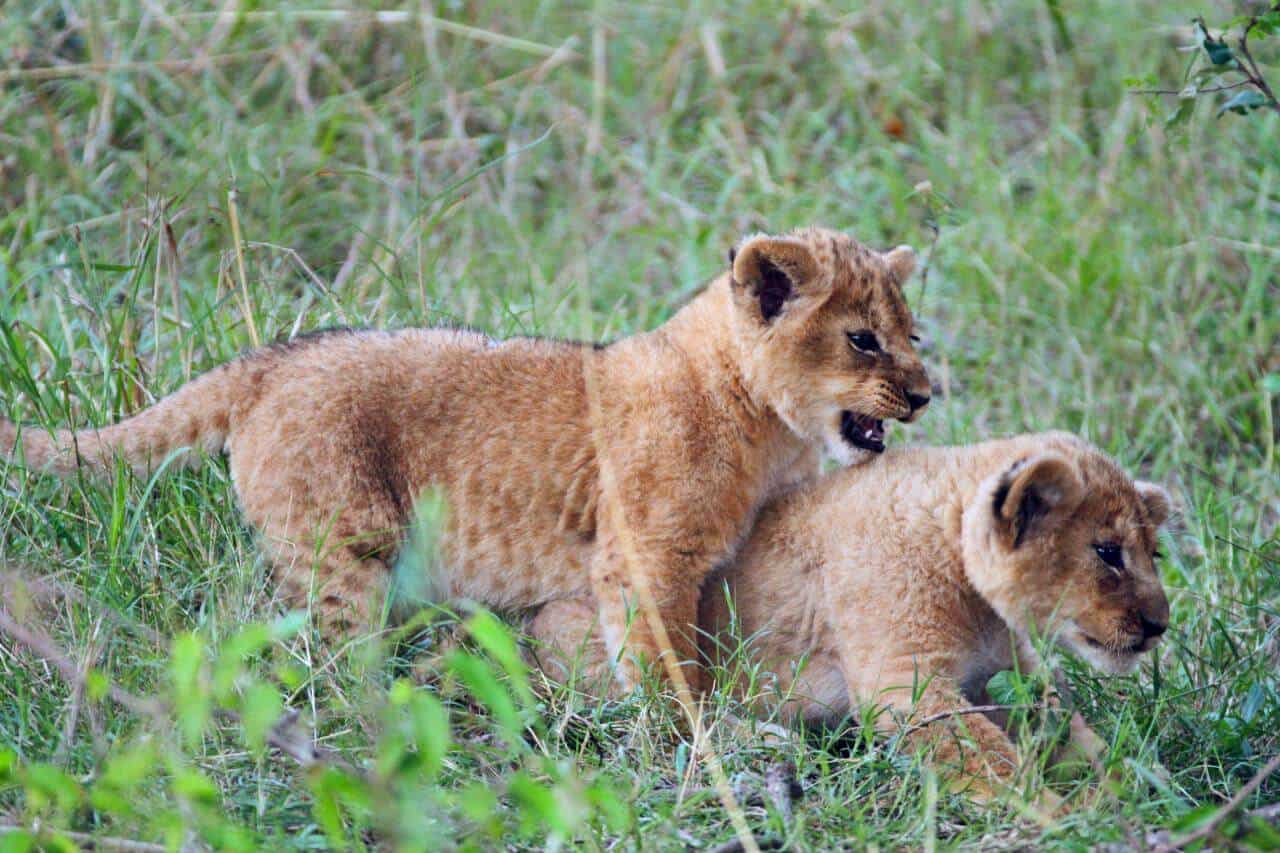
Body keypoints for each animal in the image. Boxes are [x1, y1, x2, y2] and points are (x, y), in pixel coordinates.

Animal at [1, 227, 931, 693]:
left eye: (913, 334)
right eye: (862, 339)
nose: (926, 395)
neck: (764, 423)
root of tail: (273, 358)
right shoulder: (644, 558)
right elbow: (665, 662)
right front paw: (691, 750)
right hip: (345, 553)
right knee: (329, 659)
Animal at [530, 431, 1173, 797]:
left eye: (1154, 553)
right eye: (1108, 553)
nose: (1159, 625)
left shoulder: (1015, 677)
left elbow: (1077, 738)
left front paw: (1143, 788)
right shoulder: (908, 691)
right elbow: (995, 764)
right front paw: (1062, 817)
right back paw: (767, 743)